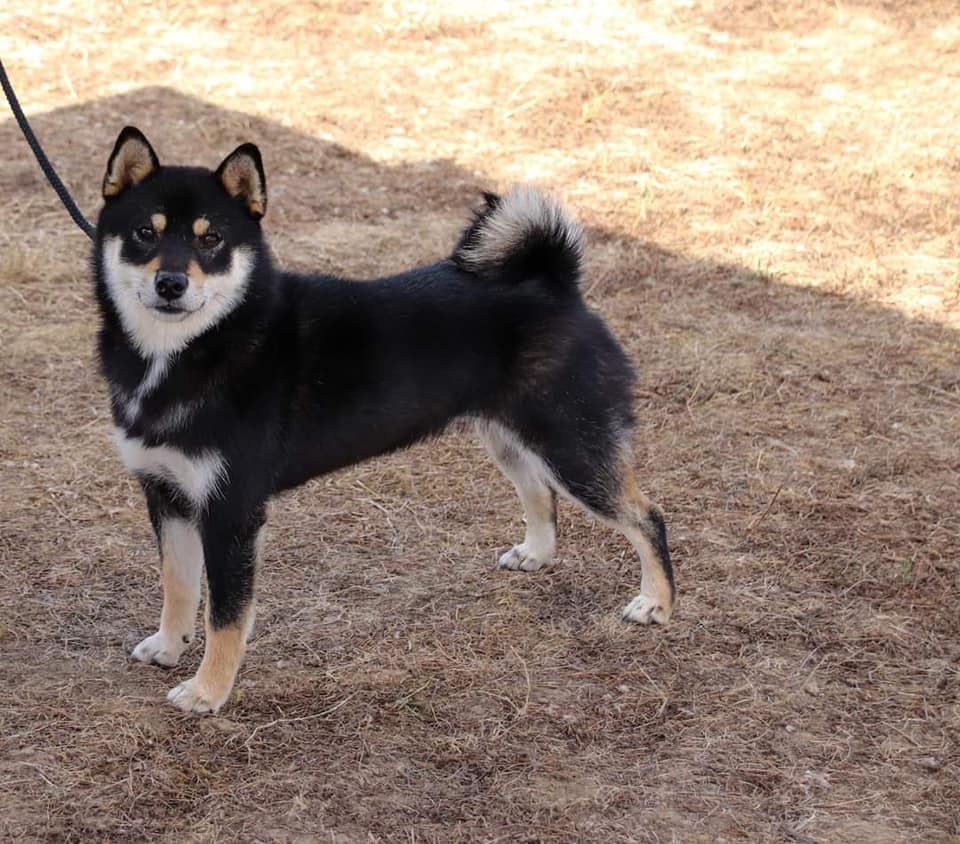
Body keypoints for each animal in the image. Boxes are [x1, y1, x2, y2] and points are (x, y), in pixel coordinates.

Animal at [93, 126, 675, 714]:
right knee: (540, 494)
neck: (196, 348)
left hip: (571, 446)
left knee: (647, 517)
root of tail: (556, 284)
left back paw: (656, 603)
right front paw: (170, 646)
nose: (170, 283)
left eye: (211, 239)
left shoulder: (231, 511)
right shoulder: (167, 494)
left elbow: (226, 616)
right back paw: (537, 553)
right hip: (511, 439)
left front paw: (208, 691)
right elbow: (179, 584)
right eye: (145, 233)